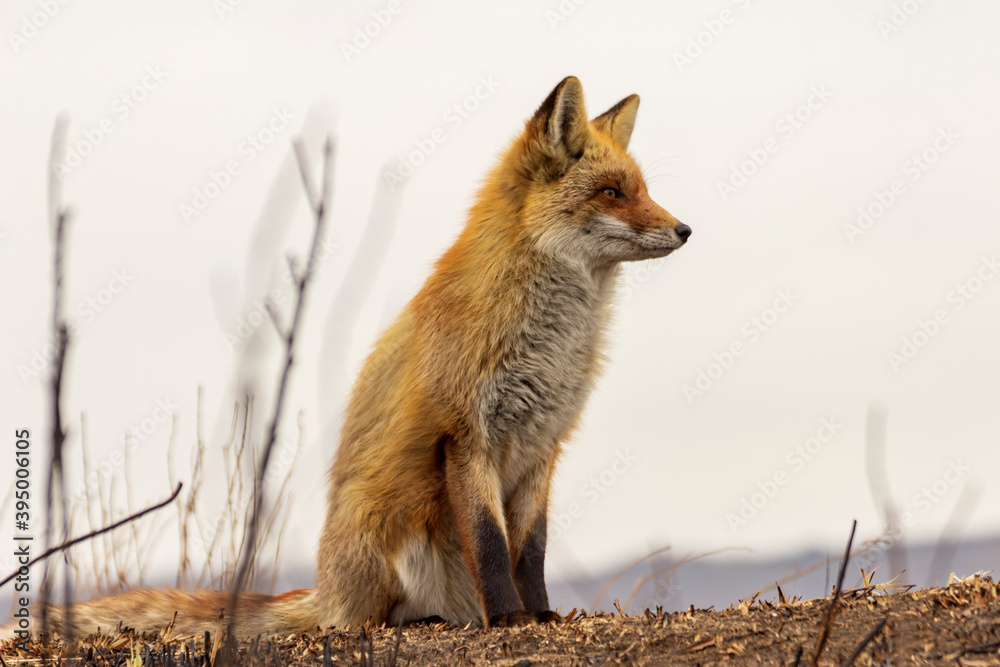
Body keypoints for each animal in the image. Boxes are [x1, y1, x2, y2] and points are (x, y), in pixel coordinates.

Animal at [2, 75, 690, 642]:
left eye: (644, 191)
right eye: (611, 192)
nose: (685, 230)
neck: (551, 341)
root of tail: (327, 589)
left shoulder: (544, 445)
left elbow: (531, 553)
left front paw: (540, 612)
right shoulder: (466, 435)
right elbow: (494, 549)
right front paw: (509, 619)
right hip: (388, 532)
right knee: (366, 619)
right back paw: (424, 620)